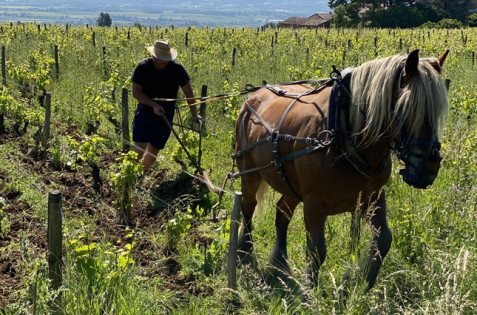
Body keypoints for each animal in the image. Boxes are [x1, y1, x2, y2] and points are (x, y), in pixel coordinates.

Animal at [232, 50, 448, 294]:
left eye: (438, 110)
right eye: (407, 108)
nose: (427, 169)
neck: (343, 131)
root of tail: (254, 95)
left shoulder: (373, 196)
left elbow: (383, 239)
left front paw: (359, 281)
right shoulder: (314, 204)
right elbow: (316, 251)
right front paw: (311, 293)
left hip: (290, 185)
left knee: (282, 213)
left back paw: (279, 264)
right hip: (249, 174)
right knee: (248, 208)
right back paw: (244, 253)